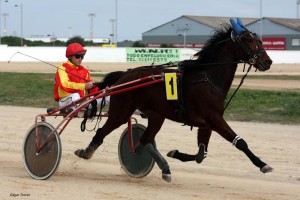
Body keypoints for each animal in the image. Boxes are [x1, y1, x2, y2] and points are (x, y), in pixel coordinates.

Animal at [75, 18, 274, 181]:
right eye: (248, 39)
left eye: (259, 40)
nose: (268, 61)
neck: (208, 77)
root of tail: (125, 75)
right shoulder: (214, 118)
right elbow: (240, 142)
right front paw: (263, 165)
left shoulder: (206, 124)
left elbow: (201, 155)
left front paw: (174, 152)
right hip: (121, 112)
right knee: (102, 131)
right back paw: (86, 151)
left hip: (156, 115)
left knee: (145, 139)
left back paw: (165, 168)